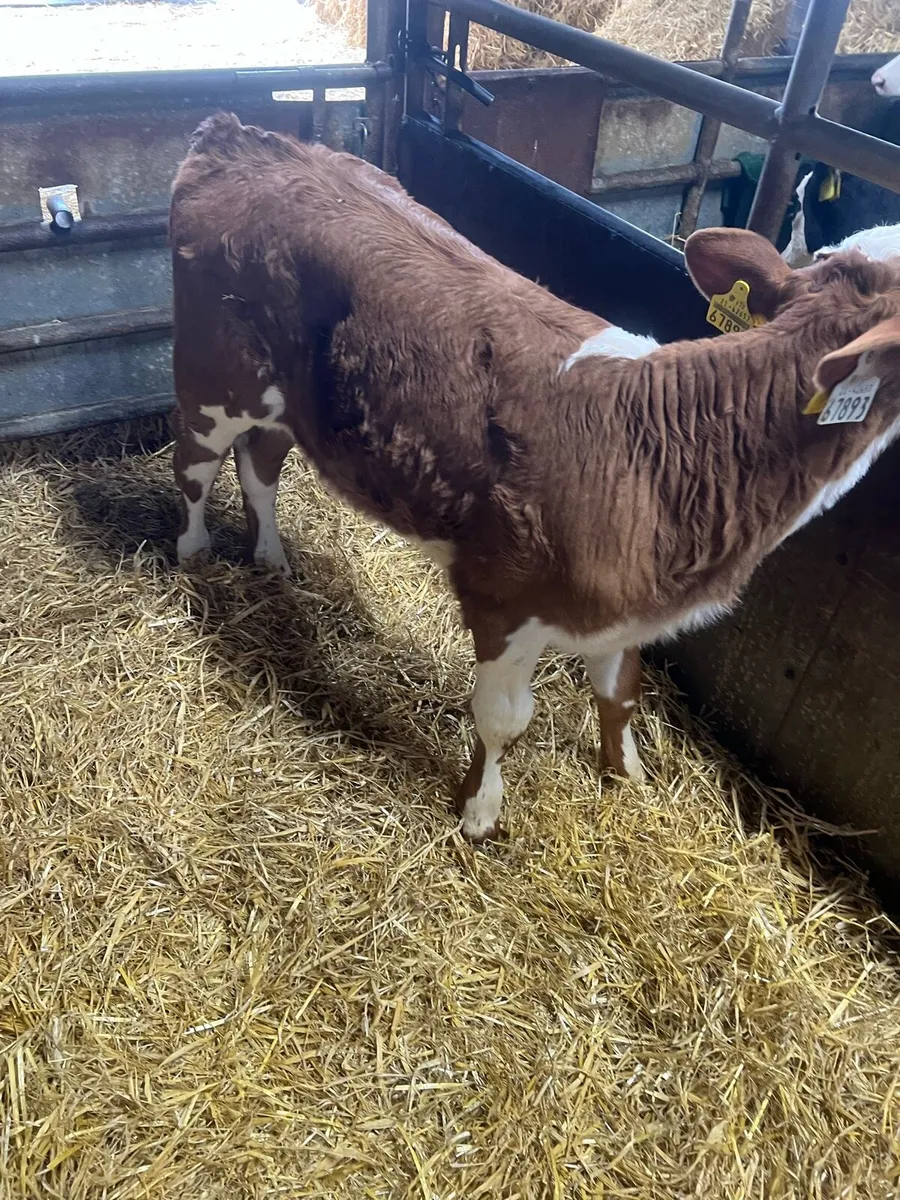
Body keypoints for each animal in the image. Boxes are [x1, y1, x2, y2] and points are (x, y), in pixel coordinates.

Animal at [170, 112, 900, 843]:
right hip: (212, 372)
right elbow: (503, 720)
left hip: (286, 401)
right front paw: (478, 814)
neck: (672, 455)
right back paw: (193, 553)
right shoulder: (502, 596)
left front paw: (626, 775)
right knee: (195, 471)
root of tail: (237, 136)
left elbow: (620, 694)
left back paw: (269, 557)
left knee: (260, 466)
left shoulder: (624, 612)